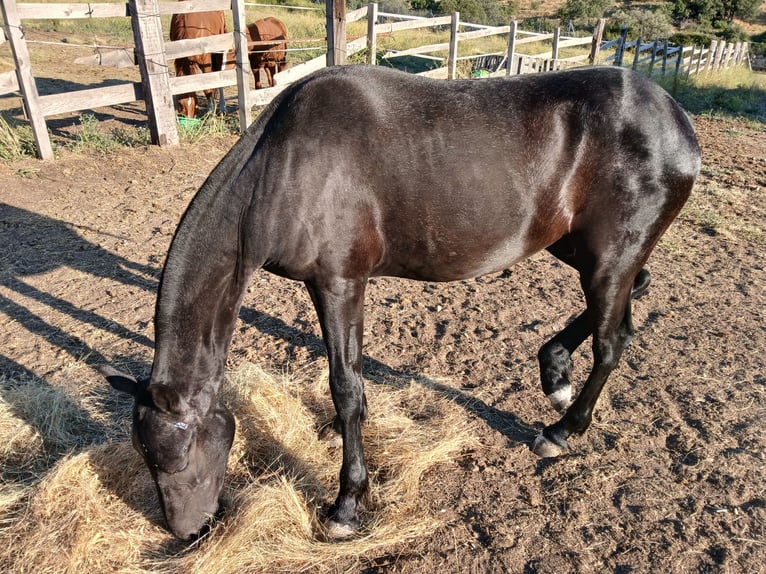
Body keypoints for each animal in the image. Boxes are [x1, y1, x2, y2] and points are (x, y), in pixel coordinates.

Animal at [99, 65, 704, 544]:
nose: (188, 531)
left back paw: (561, 431)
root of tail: (675, 118)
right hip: (583, 249)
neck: (284, 167)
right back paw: (554, 372)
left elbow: (346, 388)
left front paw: (346, 505)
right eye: (146, 458)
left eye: (179, 457)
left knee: (612, 341)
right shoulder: (328, 284)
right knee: (630, 303)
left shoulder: (340, 282)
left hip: (608, 256)